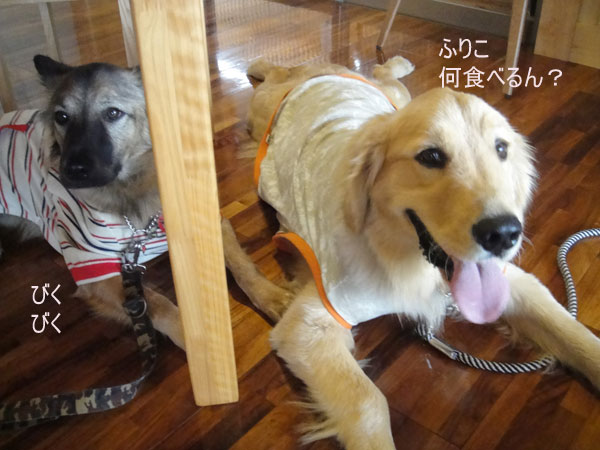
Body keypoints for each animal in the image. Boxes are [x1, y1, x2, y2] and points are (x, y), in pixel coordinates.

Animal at [221, 56, 600, 449]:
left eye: (502, 149)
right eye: (430, 156)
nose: (504, 234)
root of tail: (319, 72)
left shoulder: (515, 283)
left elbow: (574, 333)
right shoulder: (309, 325)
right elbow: (368, 401)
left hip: (393, 97)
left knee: (382, 75)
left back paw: (395, 63)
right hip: (264, 113)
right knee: (276, 74)